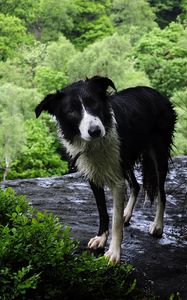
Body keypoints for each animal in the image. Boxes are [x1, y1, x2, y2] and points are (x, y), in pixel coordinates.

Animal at [35, 77, 177, 262]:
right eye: (71, 112)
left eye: (94, 104)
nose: (95, 131)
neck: (95, 144)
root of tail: (156, 92)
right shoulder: (94, 176)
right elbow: (103, 211)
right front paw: (101, 238)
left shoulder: (117, 180)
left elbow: (115, 220)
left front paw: (114, 253)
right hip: (125, 160)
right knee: (136, 185)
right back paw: (127, 214)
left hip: (157, 153)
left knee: (162, 193)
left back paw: (157, 226)